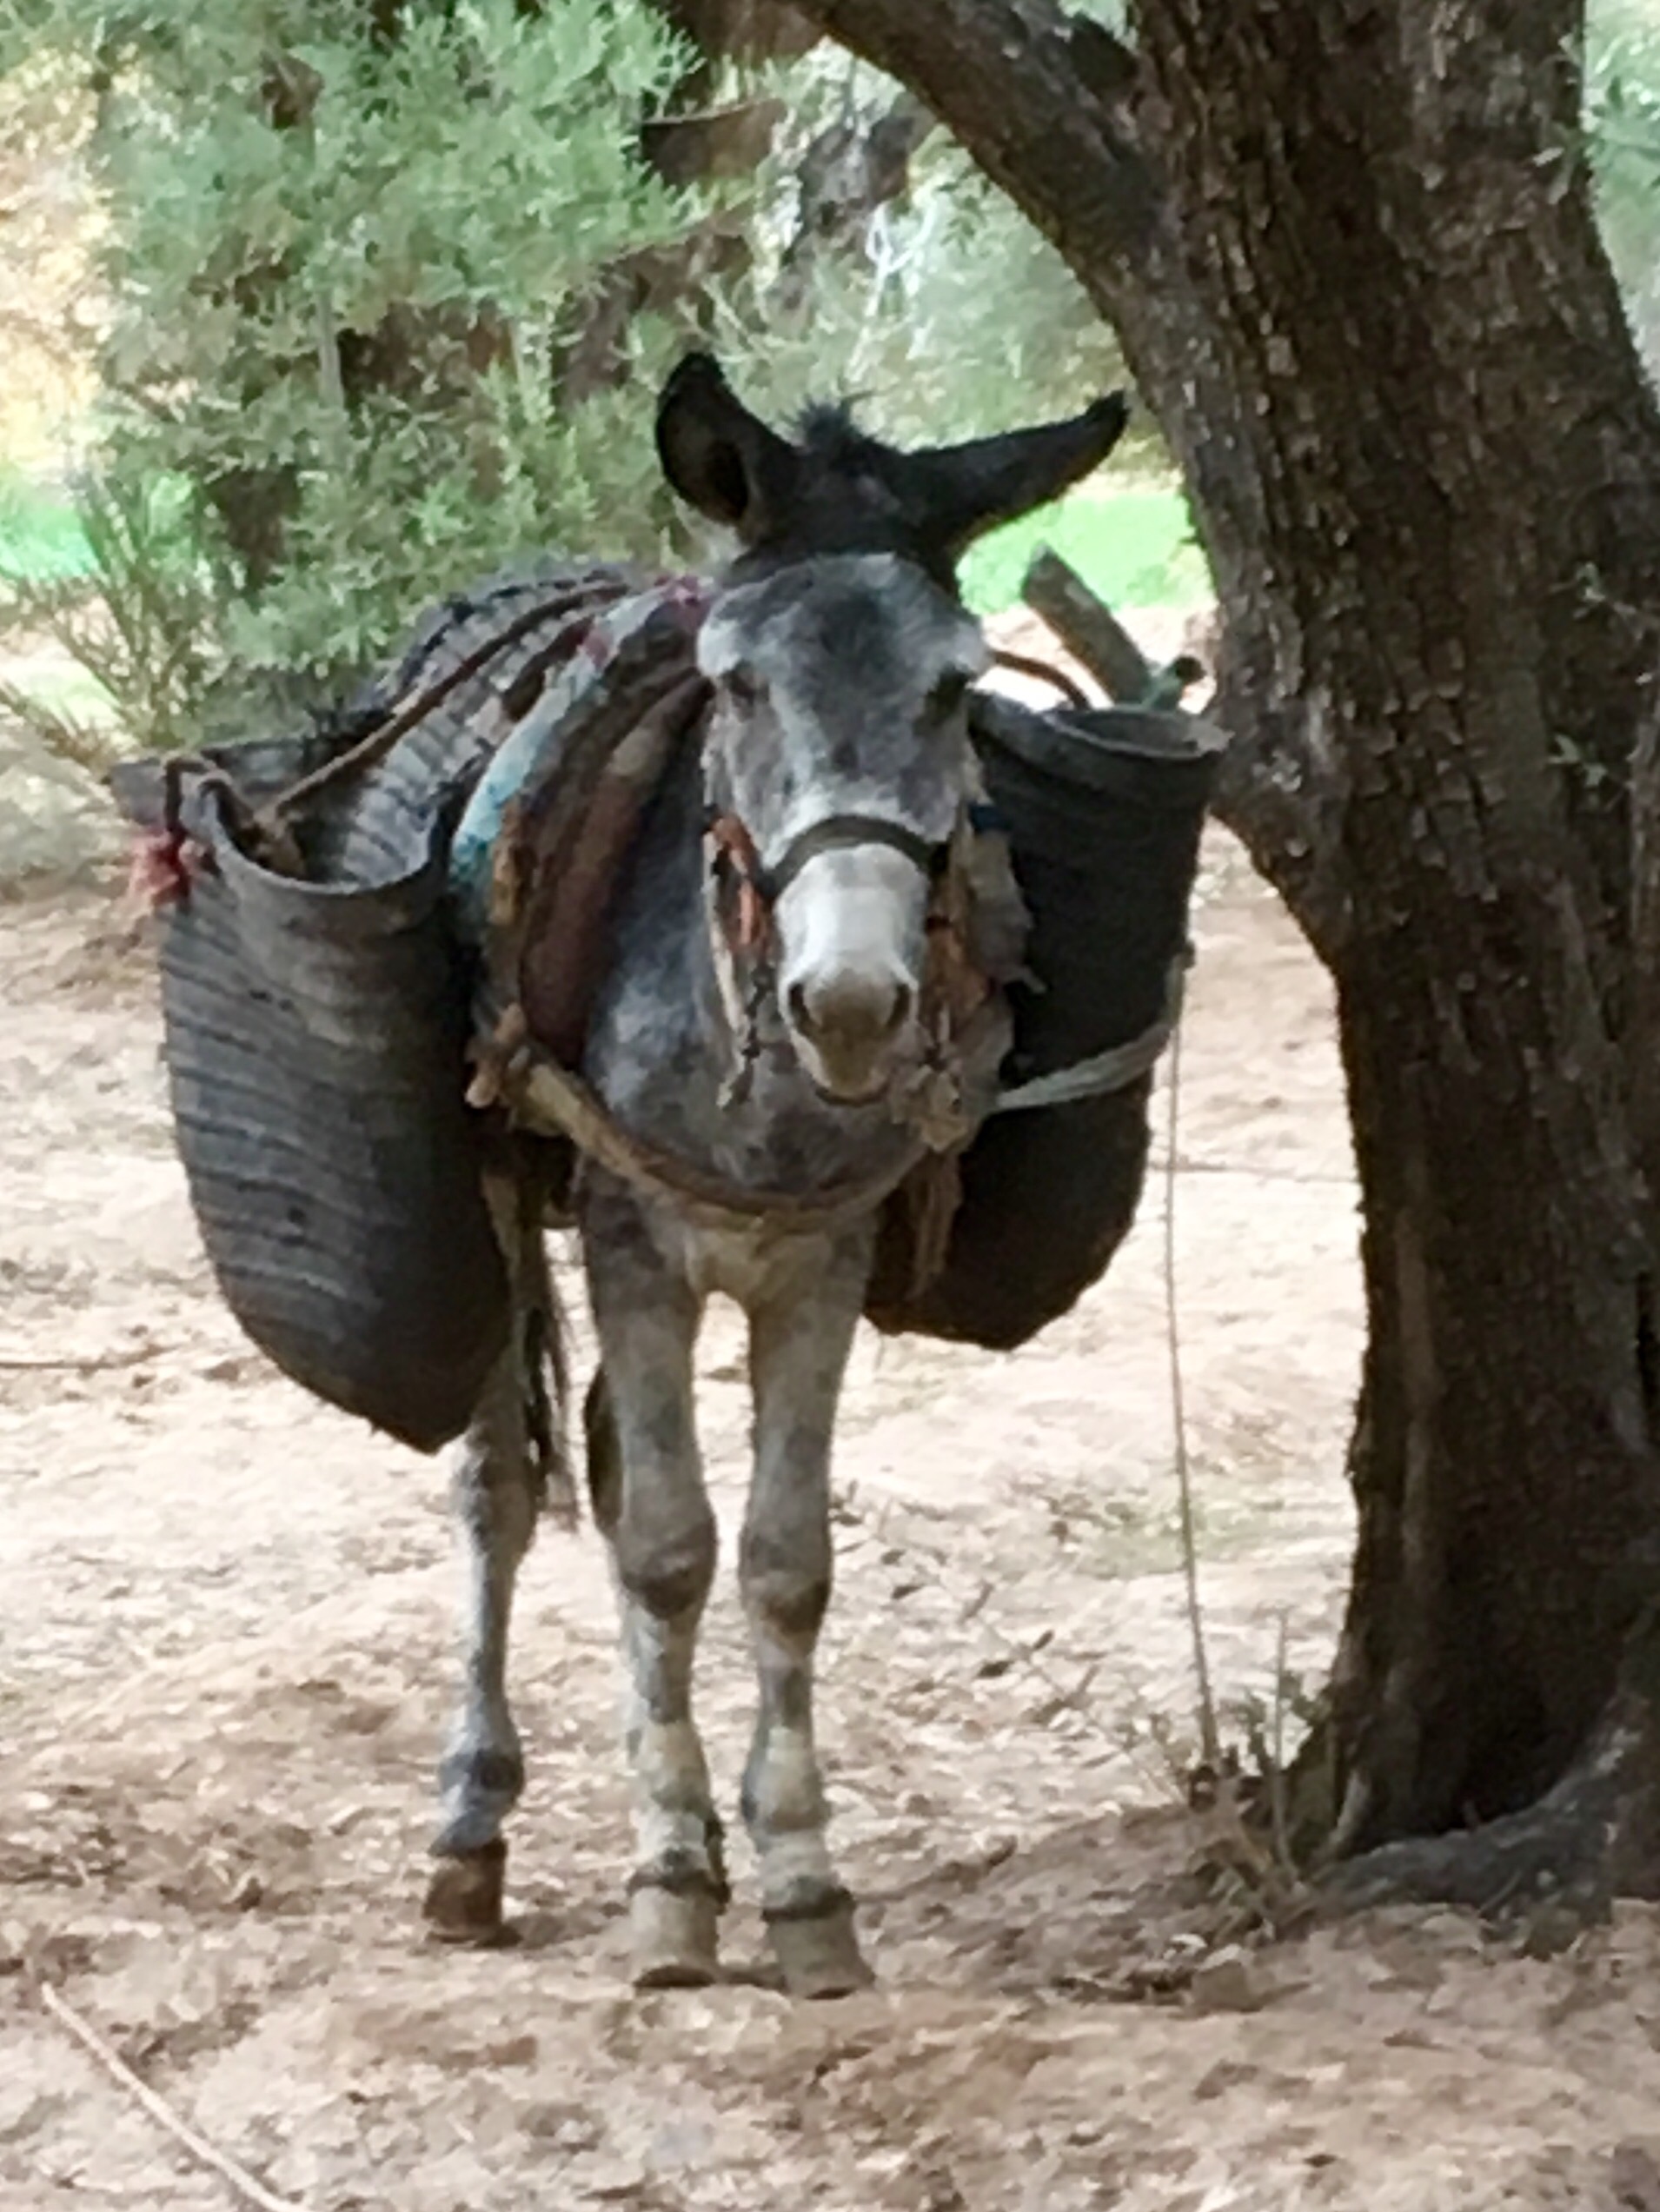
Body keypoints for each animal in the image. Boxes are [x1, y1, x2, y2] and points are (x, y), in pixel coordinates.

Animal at [426, 353, 1129, 1995]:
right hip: (510, 1211)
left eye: (956, 686)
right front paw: (673, 1886)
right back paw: (474, 1828)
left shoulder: (819, 1265)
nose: (852, 1004)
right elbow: (669, 1551)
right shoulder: (635, 1245)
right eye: (736, 683)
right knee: (501, 1489)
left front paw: (797, 1876)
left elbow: (781, 1561)